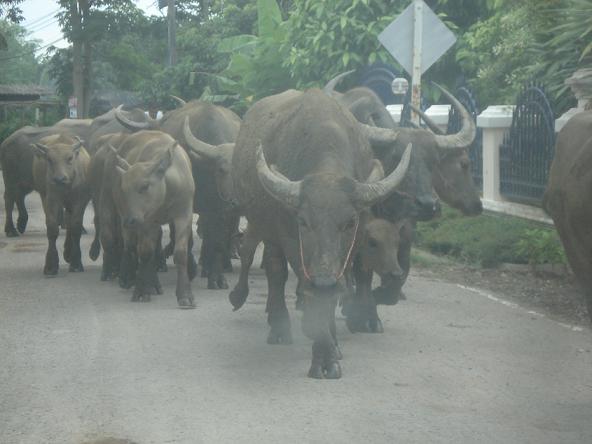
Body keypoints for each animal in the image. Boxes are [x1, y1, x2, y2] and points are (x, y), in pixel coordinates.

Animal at [31, 134, 91, 276]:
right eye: (49, 159)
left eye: (70, 158)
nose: (59, 179)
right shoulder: (51, 199)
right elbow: (52, 228)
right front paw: (51, 265)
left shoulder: (80, 200)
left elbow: (75, 227)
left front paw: (76, 263)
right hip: (45, 196)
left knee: (69, 222)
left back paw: (69, 252)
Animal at [230, 89, 412, 378]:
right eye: (303, 221)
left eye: (350, 222)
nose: (324, 281)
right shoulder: (292, 241)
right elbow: (311, 293)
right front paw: (323, 356)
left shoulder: (350, 250)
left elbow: (333, 292)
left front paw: (332, 346)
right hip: (266, 229)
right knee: (274, 269)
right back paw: (277, 325)